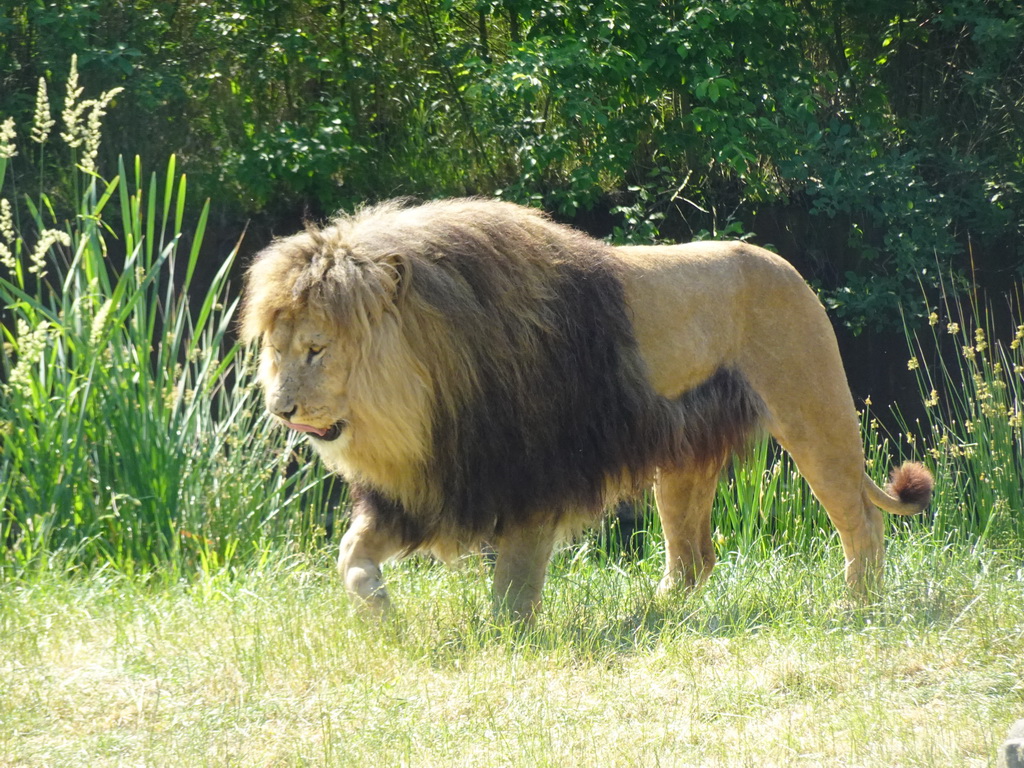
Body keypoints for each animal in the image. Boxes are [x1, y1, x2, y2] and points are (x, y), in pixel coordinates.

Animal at [241, 196, 937, 618]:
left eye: (316, 349)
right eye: (274, 349)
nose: (281, 410)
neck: (428, 395)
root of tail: (786, 266)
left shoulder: (533, 479)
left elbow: (514, 584)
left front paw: (501, 640)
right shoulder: (429, 486)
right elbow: (350, 554)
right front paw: (380, 616)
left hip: (813, 415)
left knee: (861, 522)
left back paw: (858, 606)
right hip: (681, 464)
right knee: (694, 557)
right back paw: (655, 614)